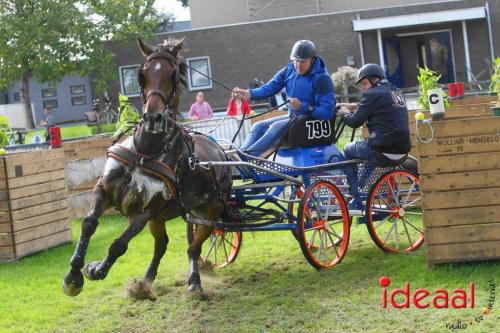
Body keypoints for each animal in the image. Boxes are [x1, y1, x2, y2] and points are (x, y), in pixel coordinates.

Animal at [62, 38, 232, 296]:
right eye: (142, 74)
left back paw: (194, 280)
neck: (145, 152)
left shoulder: (145, 211)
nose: (153, 117)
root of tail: (221, 150)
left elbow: (118, 245)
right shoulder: (104, 191)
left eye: (173, 75)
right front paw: (73, 276)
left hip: (210, 211)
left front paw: (97, 269)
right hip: (169, 217)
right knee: (162, 245)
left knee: (194, 246)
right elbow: (89, 224)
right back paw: (147, 280)